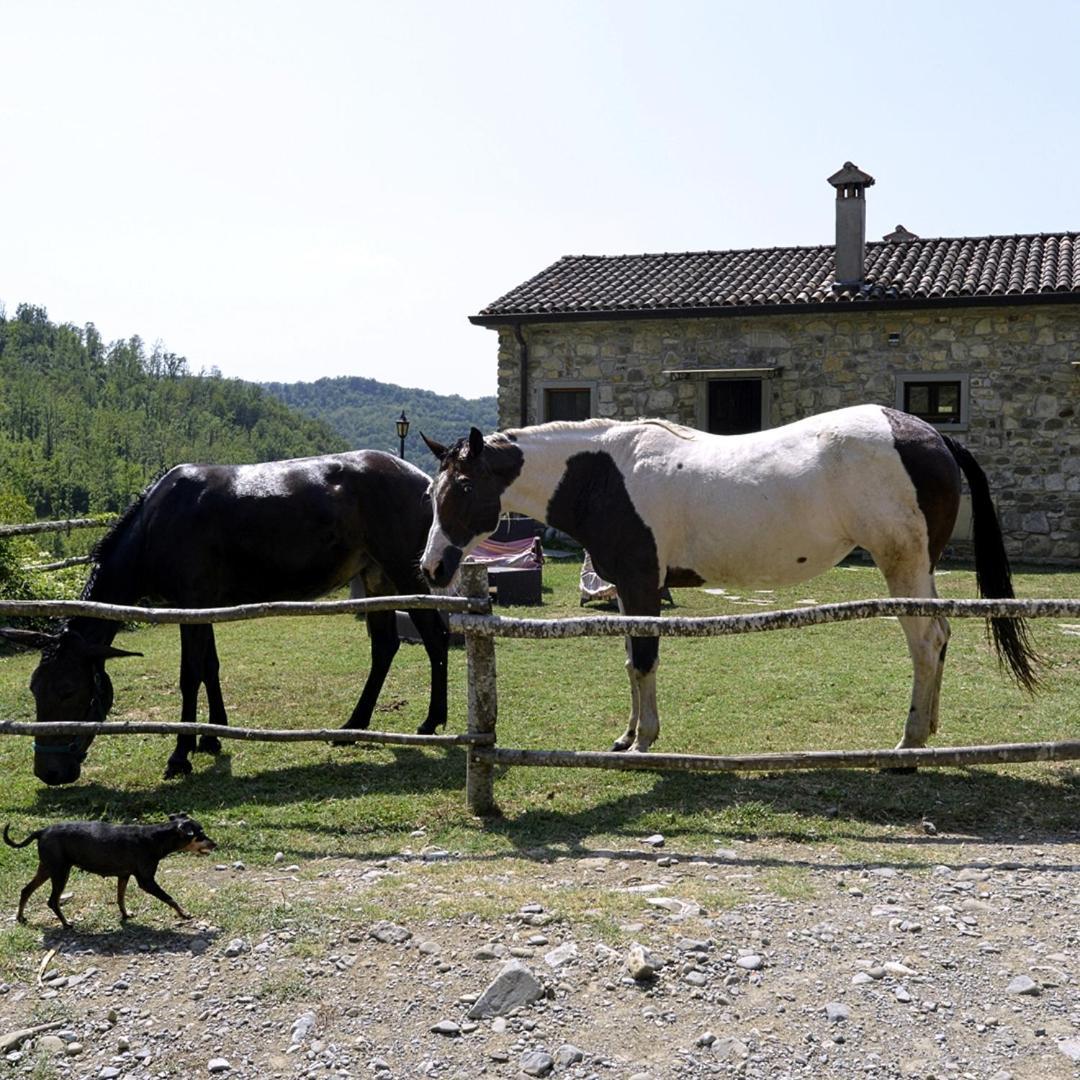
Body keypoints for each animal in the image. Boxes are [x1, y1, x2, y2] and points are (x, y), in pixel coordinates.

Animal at [0, 449, 447, 786]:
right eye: (35, 690)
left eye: (68, 691)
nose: (48, 772)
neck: (155, 526)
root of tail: (423, 480)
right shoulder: (204, 606)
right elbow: (209, 667)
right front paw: (212, 736)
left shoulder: (190, 605)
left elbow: (189, 675)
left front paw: (180, 754)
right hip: (377, 578)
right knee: (385, 647)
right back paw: (354, 726)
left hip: (404, 573)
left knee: (435, 636)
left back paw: (430, 722)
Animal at [3, 812, 214, 928]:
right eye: (200, 835)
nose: (215, 844)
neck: (155, 838)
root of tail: (42, 831)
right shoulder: (146, 881)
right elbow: (170, 898)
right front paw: (184, 914)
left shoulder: (124, 875)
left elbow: (120, 898)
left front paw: (125, 915)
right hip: (60, 872)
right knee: (52, 901)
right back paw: (66, 924)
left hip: (47, 868)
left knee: (26, 890)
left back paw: (20, 917)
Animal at [421, 403, 1036, 751]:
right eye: (432, 491)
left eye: (464, 488)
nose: (432, 568)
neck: (604, 473)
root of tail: (930, 434)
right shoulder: (628, 591)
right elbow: (630, 660)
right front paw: (626, 735)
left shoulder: (642, 585)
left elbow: (644, 661)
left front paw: (644, 741)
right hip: (919, 570)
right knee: (941, 638)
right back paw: (928, 731)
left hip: (902, 566)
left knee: (925, 643)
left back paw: (907, 744)